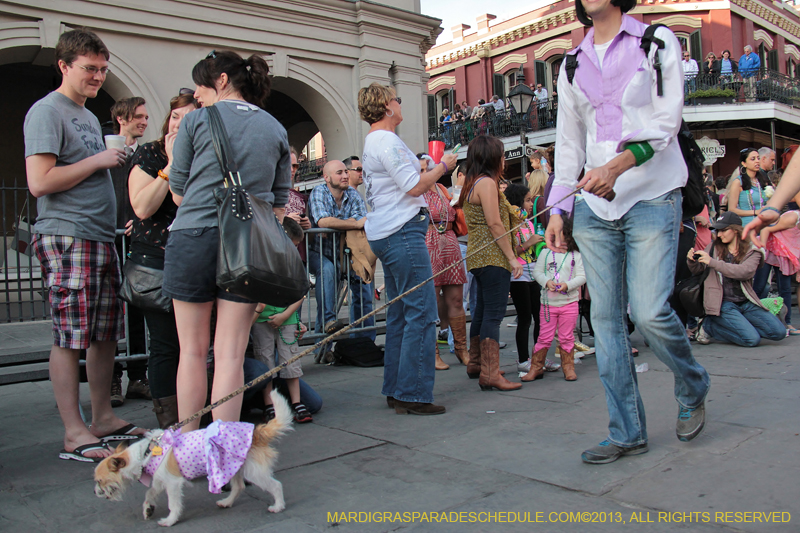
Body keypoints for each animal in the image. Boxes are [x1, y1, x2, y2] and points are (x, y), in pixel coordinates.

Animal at [94, 388, 294, 524]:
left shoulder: (172, 484)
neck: (146, 453)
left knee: (275, 486)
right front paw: (148, 509)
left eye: (100, 481)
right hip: (233, 468)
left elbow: (173, 504)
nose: (95, 492)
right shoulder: (160, 481)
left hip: (254, 472)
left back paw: (278, 506)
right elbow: (150, 492)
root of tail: (257, 433)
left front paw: (170, 520)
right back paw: (226, 502)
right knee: (239, 487)